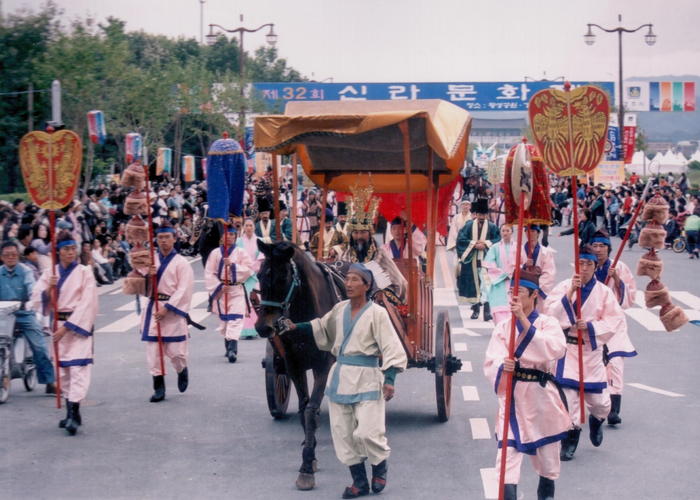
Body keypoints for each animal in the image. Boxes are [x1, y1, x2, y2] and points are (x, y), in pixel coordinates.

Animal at [256, 240, 346, 490]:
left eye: (282, 278)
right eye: (258, 275)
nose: (263, 327)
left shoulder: (323, 365)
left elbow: (311, 409)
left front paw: (306, 466)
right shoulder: (293, 364)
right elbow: (303, 408)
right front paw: (310, 450)